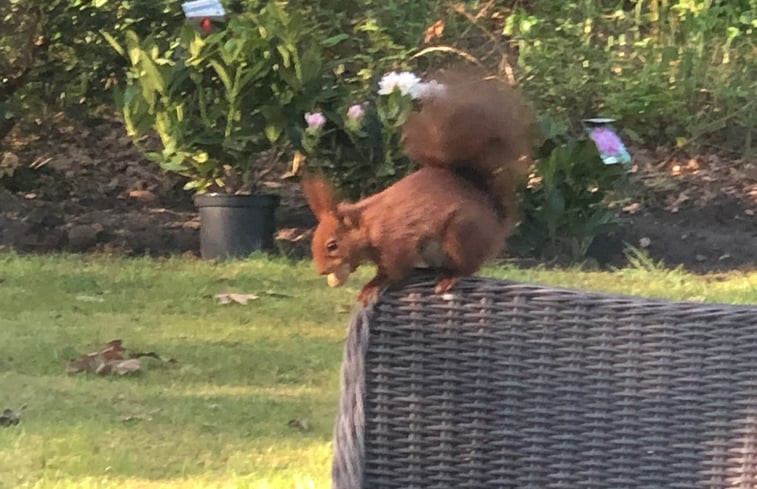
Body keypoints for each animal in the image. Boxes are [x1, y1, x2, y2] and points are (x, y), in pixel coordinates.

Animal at [302, 69, 532, 304]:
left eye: (332, 245)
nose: (321, 271)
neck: (369, 223)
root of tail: (495, 219)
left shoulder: (396, 242)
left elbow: (393, 270)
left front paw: (373, 285)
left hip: (461, 233)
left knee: (467, 267)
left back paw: (450, 277)